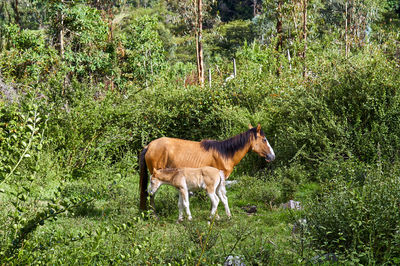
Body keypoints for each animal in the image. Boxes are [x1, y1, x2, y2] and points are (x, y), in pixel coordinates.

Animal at [140, 124, 276, 210]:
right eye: (264, 140)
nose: (272, 156)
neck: (224, 153)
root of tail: (149, 146)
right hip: (156, 179)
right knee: (151, 195)